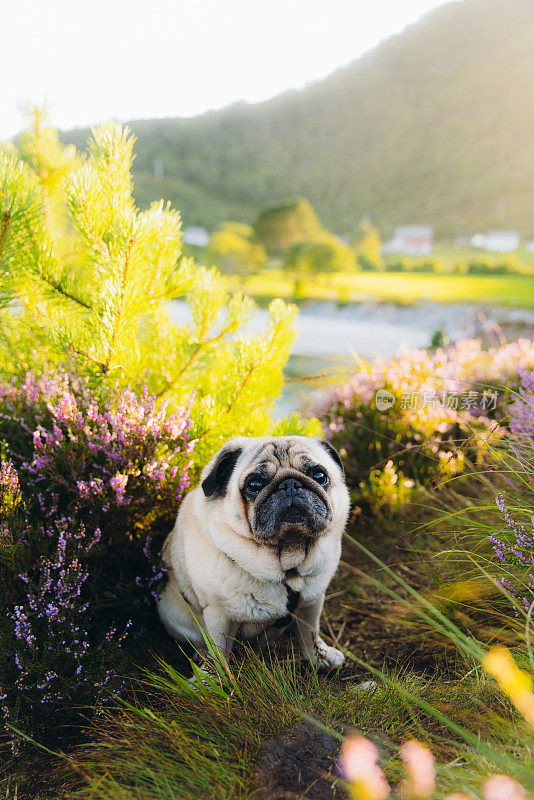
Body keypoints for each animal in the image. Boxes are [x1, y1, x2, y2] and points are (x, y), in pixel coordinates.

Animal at [158, 438, 352, 668]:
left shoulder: (311, 603)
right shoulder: (218, 613)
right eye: (255, 485)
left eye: (319, 476)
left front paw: (319, 657)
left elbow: (309, 633)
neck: (289, 565)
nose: (290, 484)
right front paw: (214, 676)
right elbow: (218, 652)